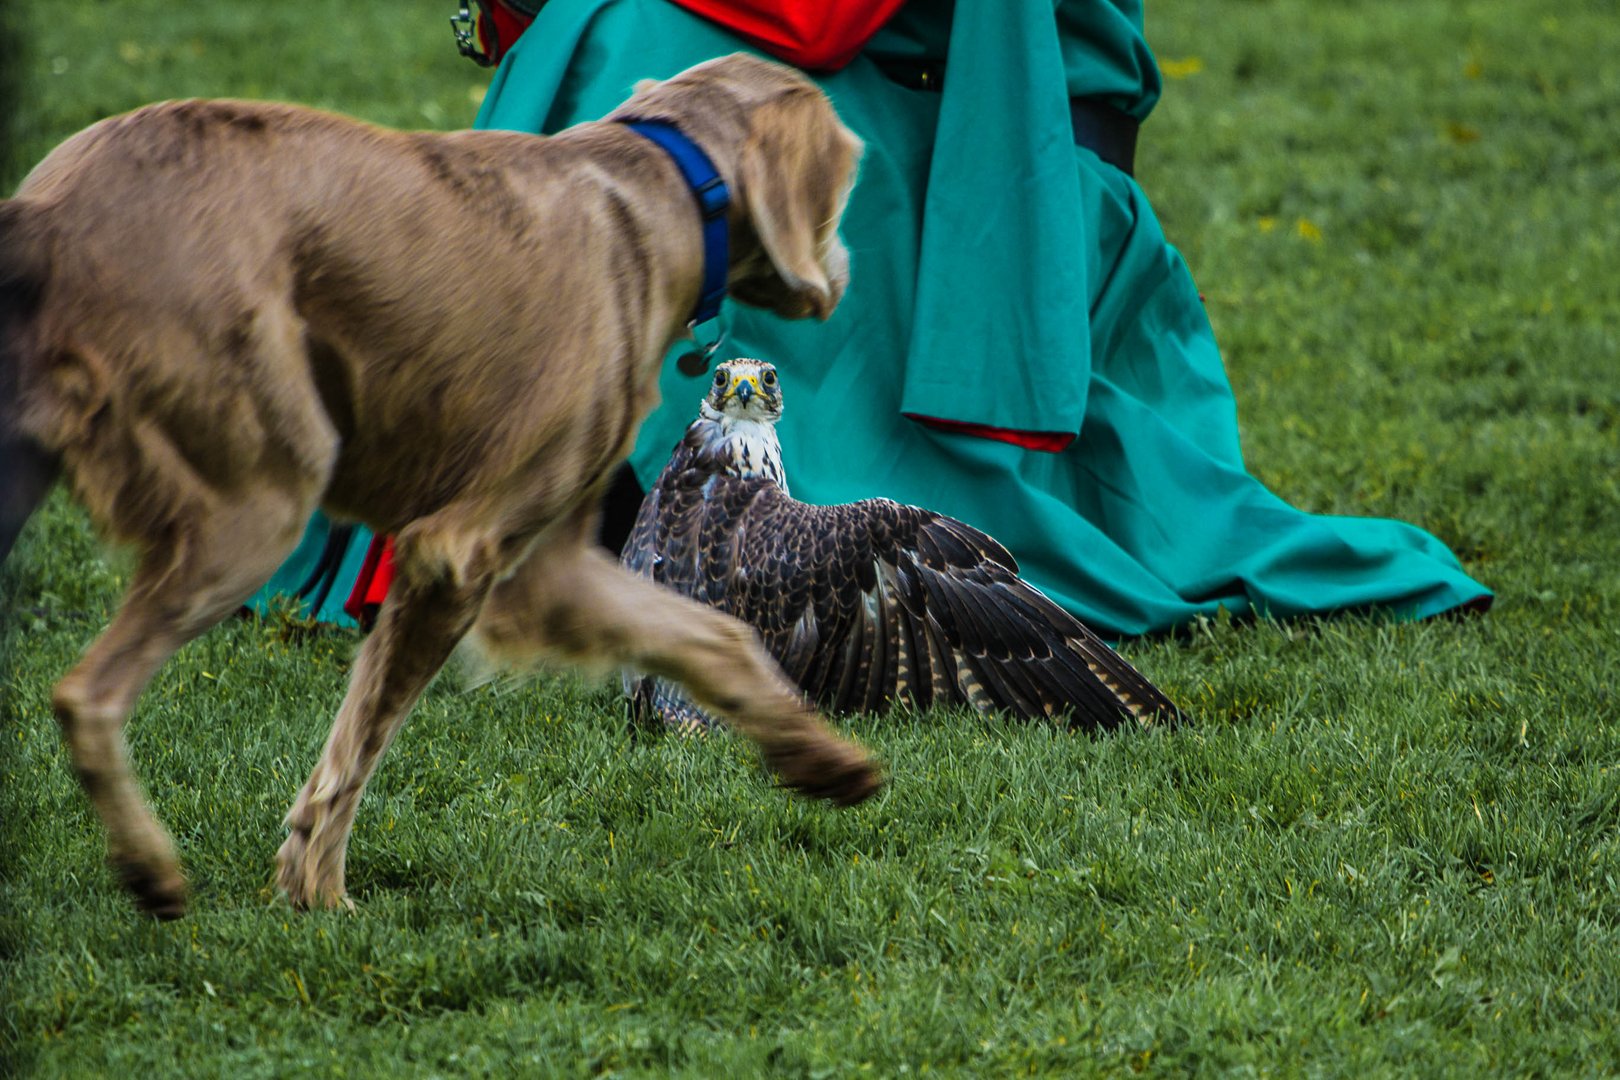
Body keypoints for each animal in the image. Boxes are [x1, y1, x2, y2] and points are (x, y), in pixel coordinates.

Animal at [0, 48, 881, 913]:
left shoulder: (550, 565)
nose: (846, 276)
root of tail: (46, 211)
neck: (664, 188)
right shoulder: (460, 552)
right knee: (86, 693)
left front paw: (822, 759)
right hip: (257, 503)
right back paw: (151, 869)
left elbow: (713, 635)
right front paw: (323, 897)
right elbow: (362, 745)